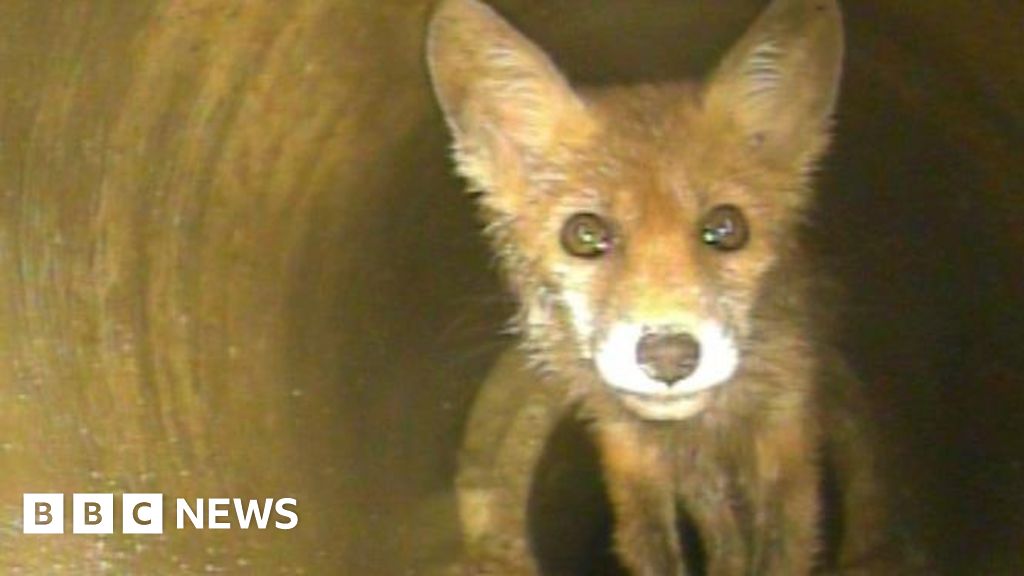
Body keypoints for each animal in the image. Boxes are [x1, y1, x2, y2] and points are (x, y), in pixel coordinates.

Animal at [427, 0, 920, 574]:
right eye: (584, 234)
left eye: (727, 228)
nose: (668, 356)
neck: (704, 429)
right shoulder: (632, 452)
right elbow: (665, 544)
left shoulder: (786, 434)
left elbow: (780, 545)